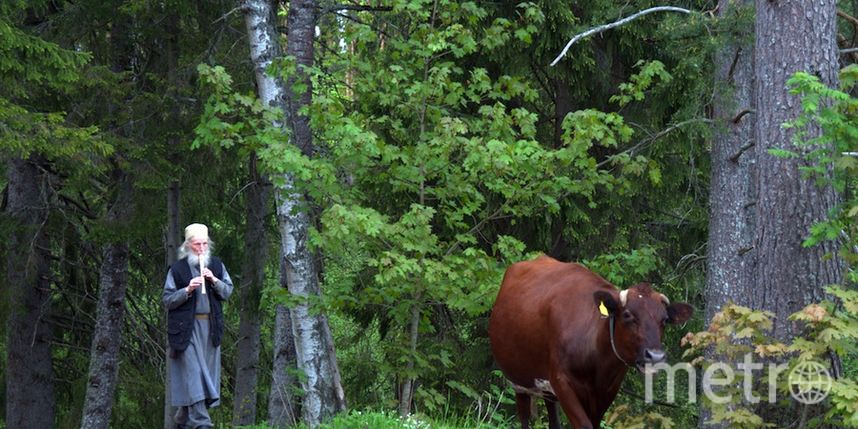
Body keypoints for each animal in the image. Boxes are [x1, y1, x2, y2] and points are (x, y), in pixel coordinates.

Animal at [484, 256, 692, 428]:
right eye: (627, 315)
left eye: (665, 319)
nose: (655, 356)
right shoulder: (562, 382)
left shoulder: (606, 391)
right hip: (518, 379)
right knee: (524, 417)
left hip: (545, 387)